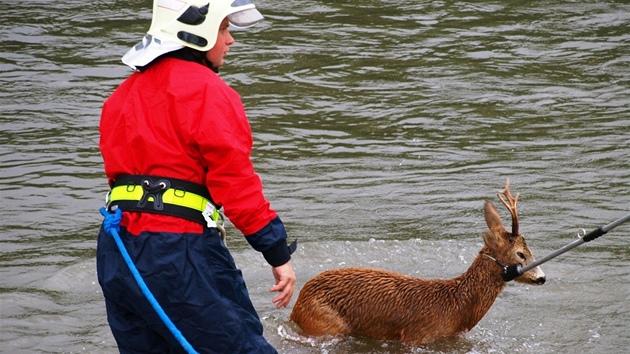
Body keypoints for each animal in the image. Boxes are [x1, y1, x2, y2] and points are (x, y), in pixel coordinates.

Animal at [292, 178, 548, 344]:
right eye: (521, 254)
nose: (543, 278)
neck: (457, 308)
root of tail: (296, 306)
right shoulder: (417, 336)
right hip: (324, 323)